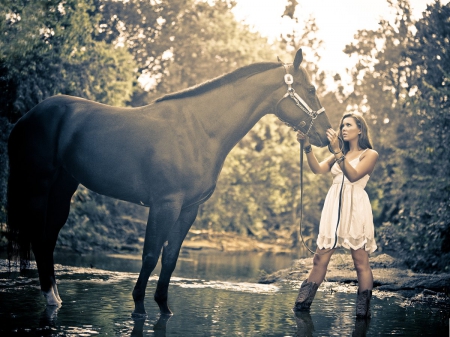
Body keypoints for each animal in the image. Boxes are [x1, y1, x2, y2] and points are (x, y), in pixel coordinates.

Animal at [6, 48, 330, 316]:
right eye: (311, 89)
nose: (326, 135)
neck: (199, 129)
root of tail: (28, 116)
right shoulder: (165, 205)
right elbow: (150, 255)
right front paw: (138, 305)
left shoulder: (189, 209)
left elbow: (171, 258)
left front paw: (163, 306)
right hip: (39, 187)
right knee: (39, 238)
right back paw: (51, 299)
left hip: (63, 189)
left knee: (48, 239)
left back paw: (55, 297)